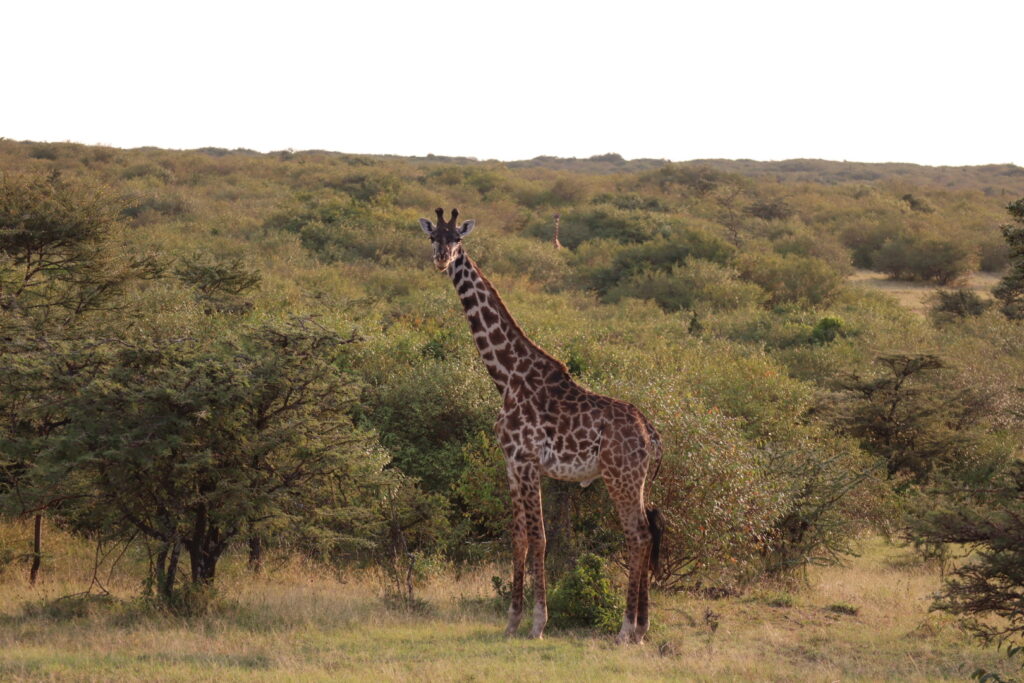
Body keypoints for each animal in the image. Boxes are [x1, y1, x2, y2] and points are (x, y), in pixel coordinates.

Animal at [419, 205, 667, 643]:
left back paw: (626, 630)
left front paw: (537, 623)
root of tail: (650, 433)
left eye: (458, 239)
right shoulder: (511, 462)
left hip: (619, 476)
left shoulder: (528, 461)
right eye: (434, 237)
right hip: (636, 480)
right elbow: (518, 537)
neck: (506, 376)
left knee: (637, 535)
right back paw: (640, 628)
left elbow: (539, 538)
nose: (442, 260)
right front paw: (511, 621)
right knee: (648, 533)